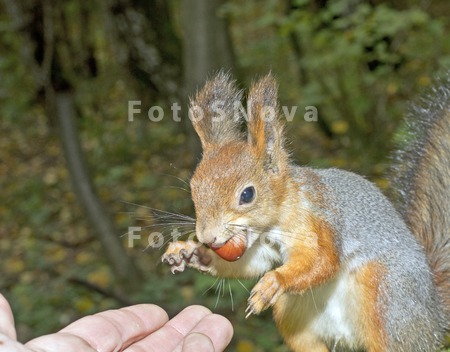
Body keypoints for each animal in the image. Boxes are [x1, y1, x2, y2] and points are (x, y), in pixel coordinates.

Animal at [163, 72, 450, 352]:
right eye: (194, 187)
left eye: (247, 195)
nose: (207, 237)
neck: (277, 216)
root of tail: (433, 317)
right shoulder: (262, 248)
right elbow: (253, 264)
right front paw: (191, 252)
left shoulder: (317, 221)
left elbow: (323, 260)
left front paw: (274, 281)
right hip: (294, 313)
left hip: (387, 300)